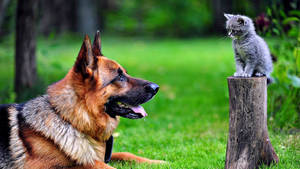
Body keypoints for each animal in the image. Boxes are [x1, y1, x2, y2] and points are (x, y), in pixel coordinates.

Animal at [0, 32, 164, 169]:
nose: (156, 88)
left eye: (125, 73)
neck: (70, 119)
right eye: (119, 77)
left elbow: (125, 154)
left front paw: (159, 162)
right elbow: (93, 163)